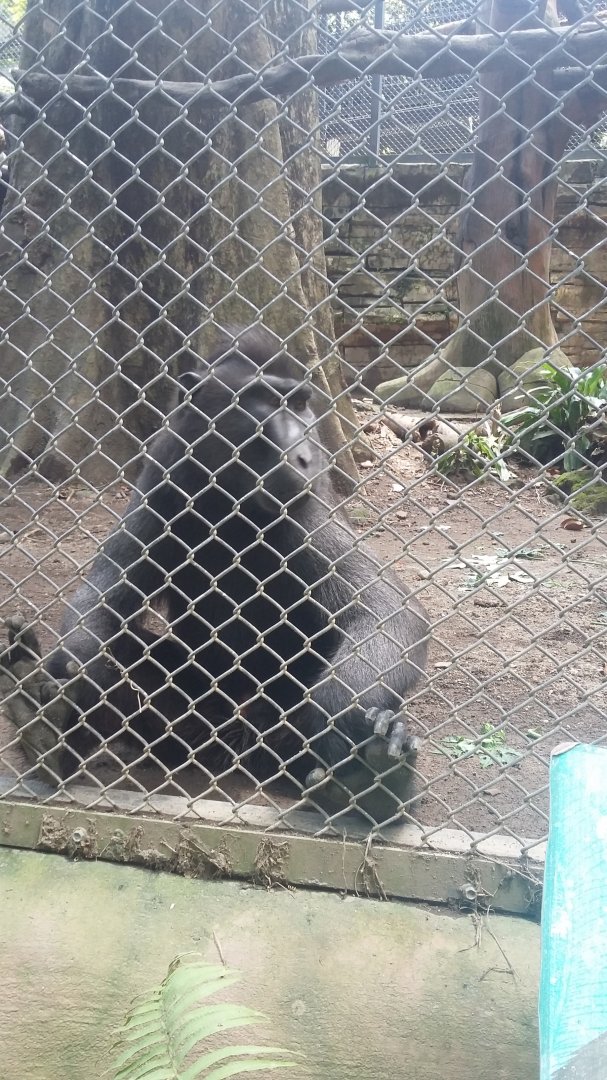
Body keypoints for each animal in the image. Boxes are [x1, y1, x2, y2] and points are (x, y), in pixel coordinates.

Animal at [0, 326, 428, 822]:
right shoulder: (165, 477)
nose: (304, 454)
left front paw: (341, 715)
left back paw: (370, 785)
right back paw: (44, 733)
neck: (229, 497)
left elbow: (387, 609)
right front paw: (71, 687)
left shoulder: (303, 511)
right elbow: (105, 599)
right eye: (265, 401)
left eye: (299, 403)